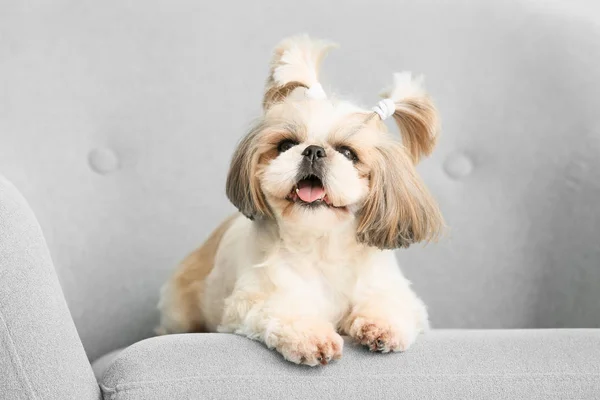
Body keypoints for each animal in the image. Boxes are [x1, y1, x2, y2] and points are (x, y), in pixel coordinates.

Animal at [157, 36, 442, 368]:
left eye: (347, 153)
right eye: (286, 145)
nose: (314, 150)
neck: (322, 247)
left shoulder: (395, 292)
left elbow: (390, 304)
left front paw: (381, 327)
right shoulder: (254, 300)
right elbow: (286, 311)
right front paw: (311, 337)